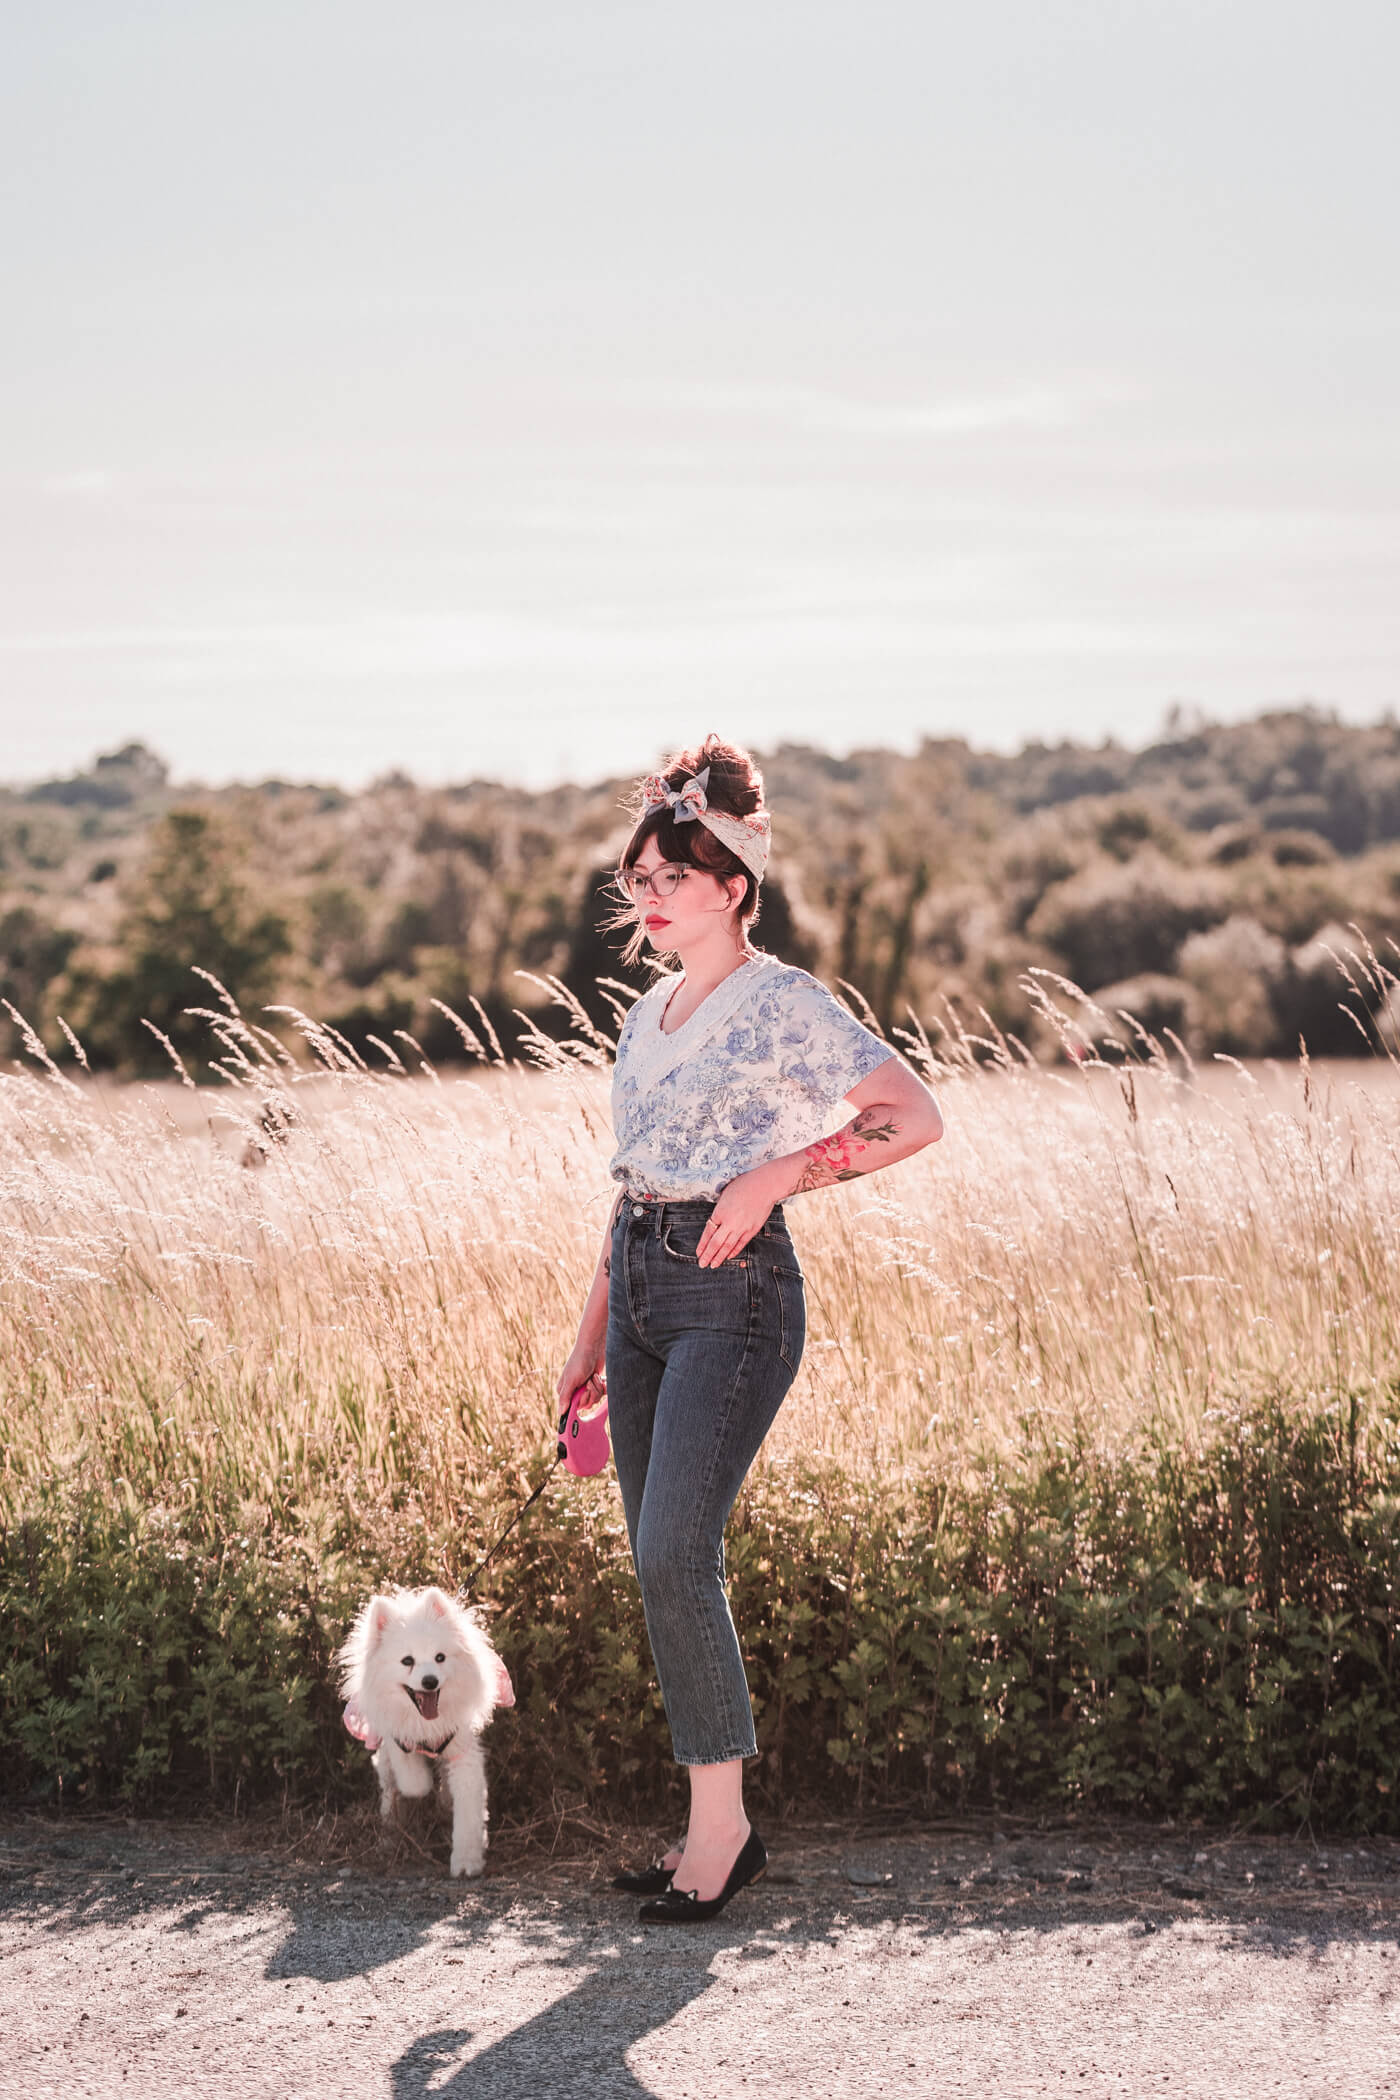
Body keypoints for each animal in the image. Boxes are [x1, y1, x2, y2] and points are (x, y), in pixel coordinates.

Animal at [333, 1579, 514, 1881]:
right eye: (407, 1661)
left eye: (440, 1657)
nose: (429, 1681)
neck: (427, 1723)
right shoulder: (397, 1741)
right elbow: (415, 1783)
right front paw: (424, 1785)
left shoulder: (463, 1754)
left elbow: (467, 1814)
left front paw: (467, 1862)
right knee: (390, 1792)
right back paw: (390, 1834)